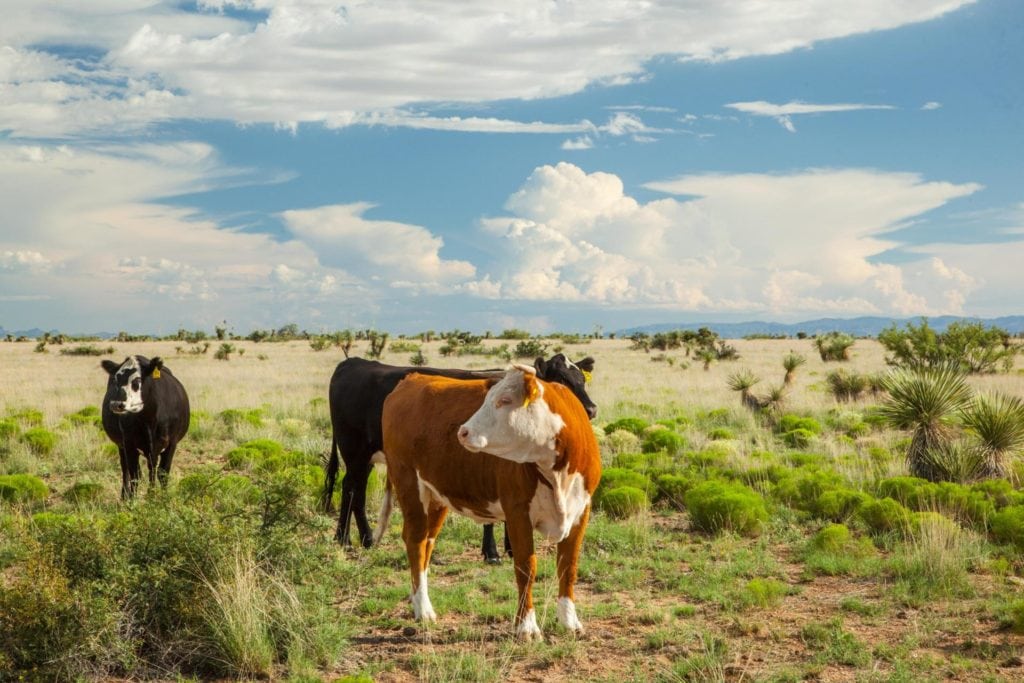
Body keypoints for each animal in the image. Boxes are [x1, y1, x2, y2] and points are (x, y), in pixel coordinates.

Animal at [100, 356, 189, 499]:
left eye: (137, 380)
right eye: (115, 380)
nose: (116, 404)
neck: (149, 419)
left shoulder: (171, 443)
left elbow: (162, 473)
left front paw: (158, 497)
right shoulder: (129, 444)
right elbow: (134, 475)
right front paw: (133, 500)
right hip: (122, 445)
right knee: (125, 469)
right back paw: (124, 496)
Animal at [315, 352, 598, 561]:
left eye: (581, 380)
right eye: (560, 380)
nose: (591, 409)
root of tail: (352, 362)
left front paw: (510, 548)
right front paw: (492, 552)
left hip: (364, 457)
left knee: (352, 488)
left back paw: (354, 538)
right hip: (354, 451)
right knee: (352, 488)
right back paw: (352, 539)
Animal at [380, 366, 598, 638]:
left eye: (504, 400)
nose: (463, 431)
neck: (557, 470)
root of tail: (412, 379)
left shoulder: (581, 510)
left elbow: (568, 566)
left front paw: (569, 622)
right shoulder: (517, 511)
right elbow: (526, 567)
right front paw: (526, 627)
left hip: (437, 495)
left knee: (427, 544)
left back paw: (417, 598)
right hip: (409, 483)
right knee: (416, 541)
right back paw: (423, 609)